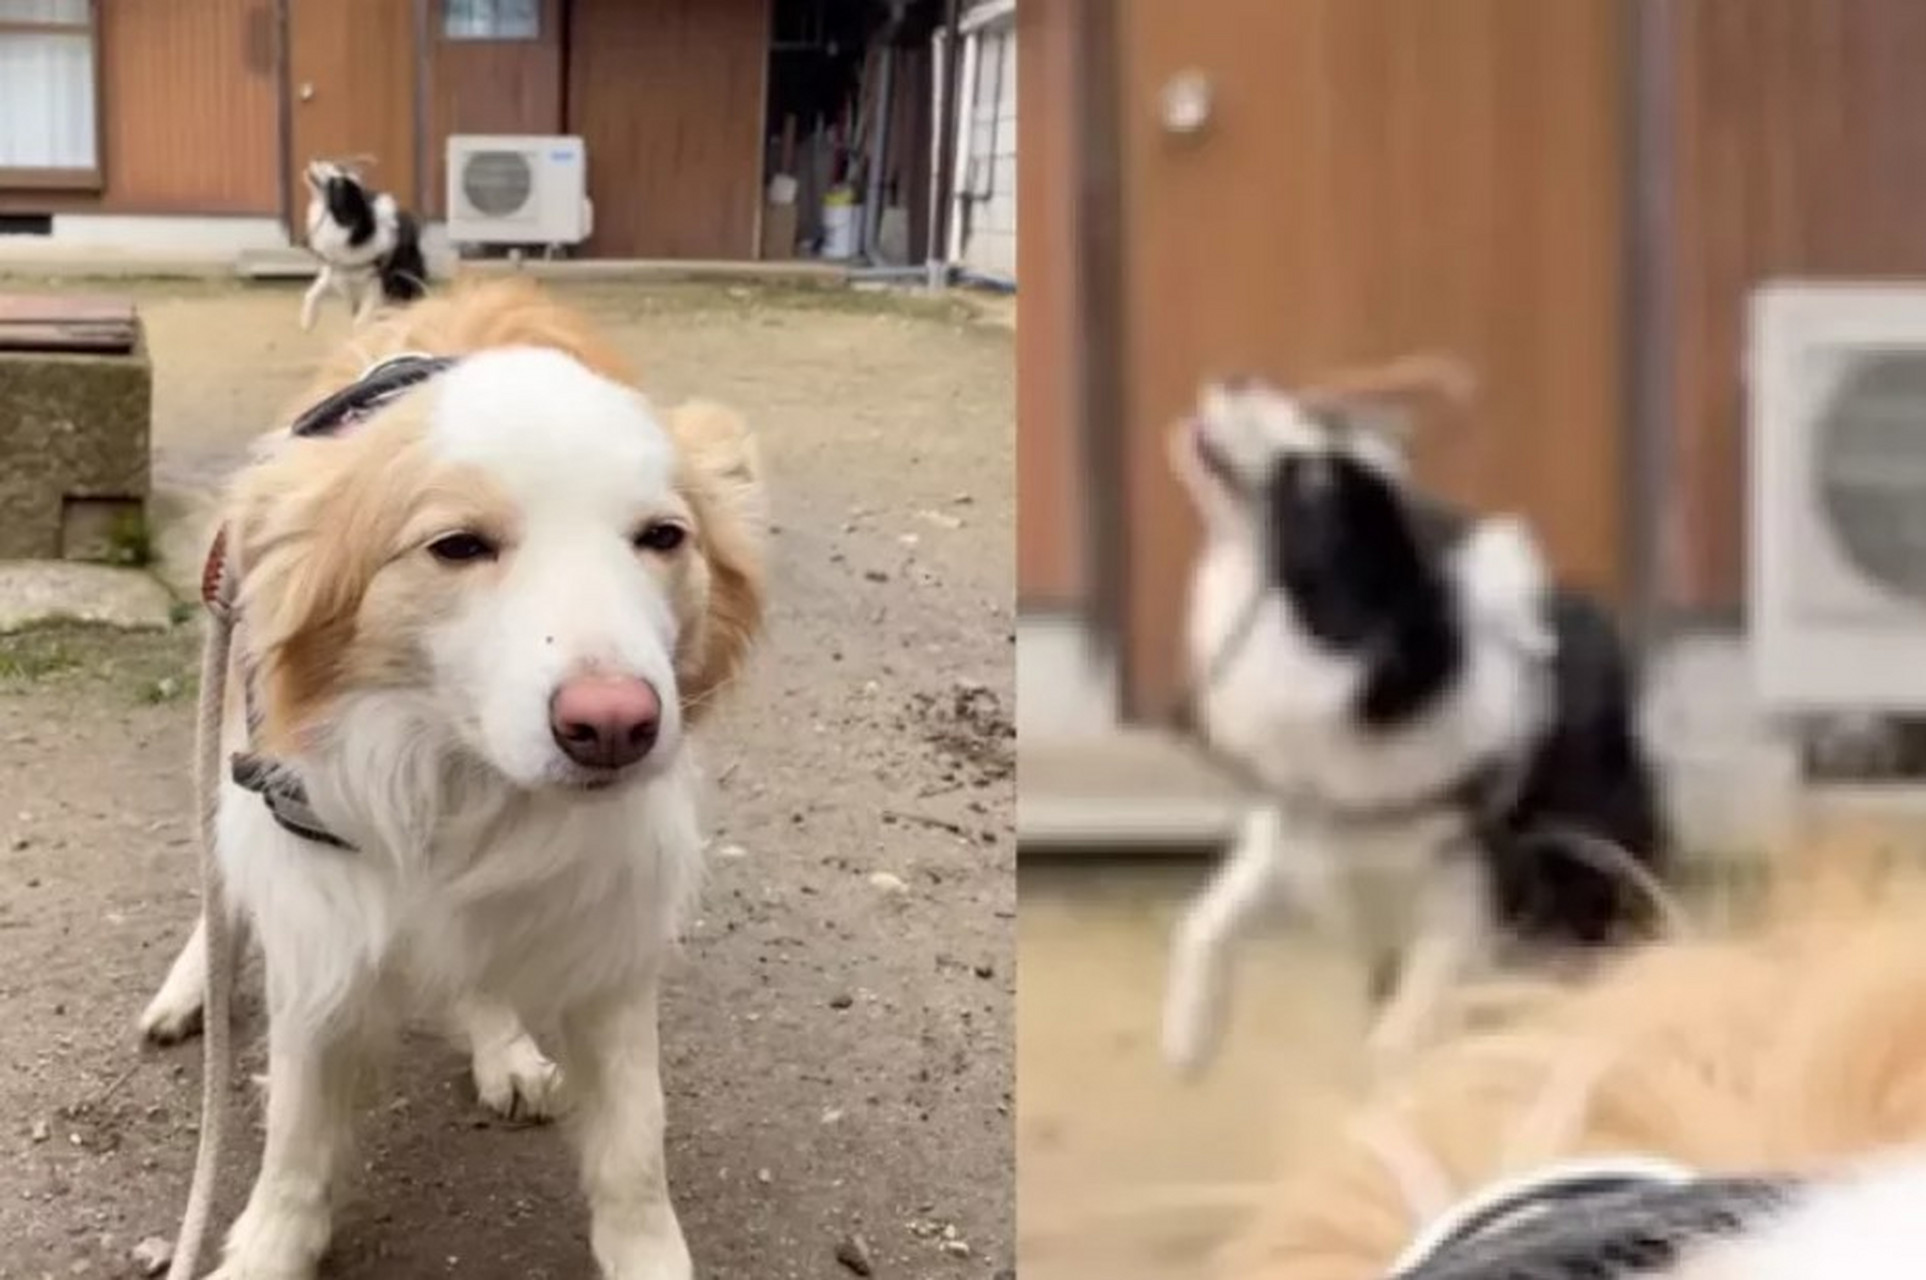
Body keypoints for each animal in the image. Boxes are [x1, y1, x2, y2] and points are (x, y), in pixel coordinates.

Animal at [135, 279, 762, 1278]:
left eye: (664, 536)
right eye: (458, 546)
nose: (614, 728)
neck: (462, 779)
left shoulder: (611, 937)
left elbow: (634, 1147)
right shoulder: (319, 912)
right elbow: (295, 1143)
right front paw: (267, 1248)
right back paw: (191, 988)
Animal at [298, 158, 427, 331]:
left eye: (338, 185)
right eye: (338, 167)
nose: (317, 160)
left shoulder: (374, 288)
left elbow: (361, 322)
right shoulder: (333, 272)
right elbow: (312, 293)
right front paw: (307, 320)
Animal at [1155, 371, 1671, 1077]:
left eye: (1314, 485)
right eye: (1322, 420)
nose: (1239, 378)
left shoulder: (1463, 914)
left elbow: (1404, 1040)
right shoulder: (1294, 839)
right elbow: (1206, 922)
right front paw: (1189, 1037)